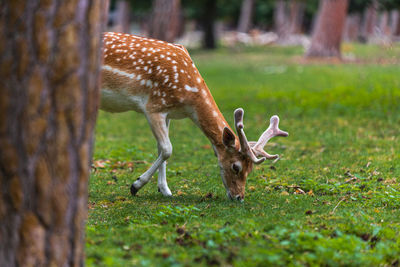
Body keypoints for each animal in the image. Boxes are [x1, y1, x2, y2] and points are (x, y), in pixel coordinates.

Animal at [100, 32, 288, 202]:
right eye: (236, 166)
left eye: (250, 170)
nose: (239, 197)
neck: (189, 99)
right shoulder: (153, 106)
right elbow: (168, 149)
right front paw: (135, 186)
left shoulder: (168, 113)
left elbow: (161, 148)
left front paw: (165, 190)